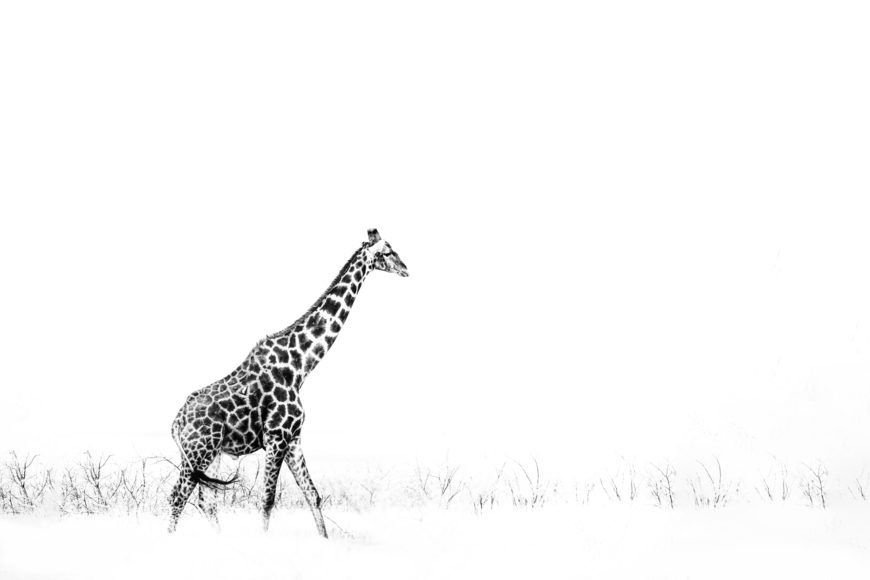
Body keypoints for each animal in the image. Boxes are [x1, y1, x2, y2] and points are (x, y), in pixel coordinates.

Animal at [167, 228, 408, 537]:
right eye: (388, 251)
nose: (406, 269)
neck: (299, 367)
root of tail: (176, 422)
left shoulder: (293, 438)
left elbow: (312, 494)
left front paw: (325, 540)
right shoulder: (276, 436)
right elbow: (268, 499)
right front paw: (263, 540)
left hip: (212, 453)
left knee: (205, 500)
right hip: (198, 452)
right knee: (177, 497)